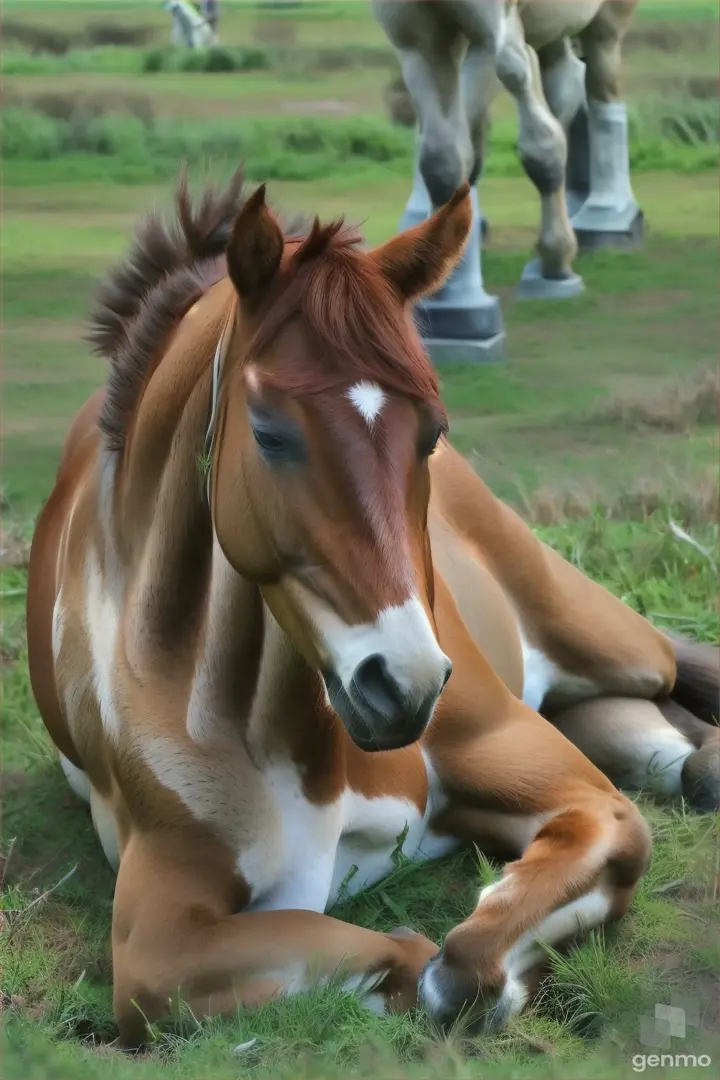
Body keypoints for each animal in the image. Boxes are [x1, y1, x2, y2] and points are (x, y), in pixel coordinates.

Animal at [25, 172, 716, 1041]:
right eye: (269, 431)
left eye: (432, 430)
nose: (404, 685)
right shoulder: (158, 931)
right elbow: (405, 960)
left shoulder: (558, 785)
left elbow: (551, 890)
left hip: (601, 638)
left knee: (673, 673)